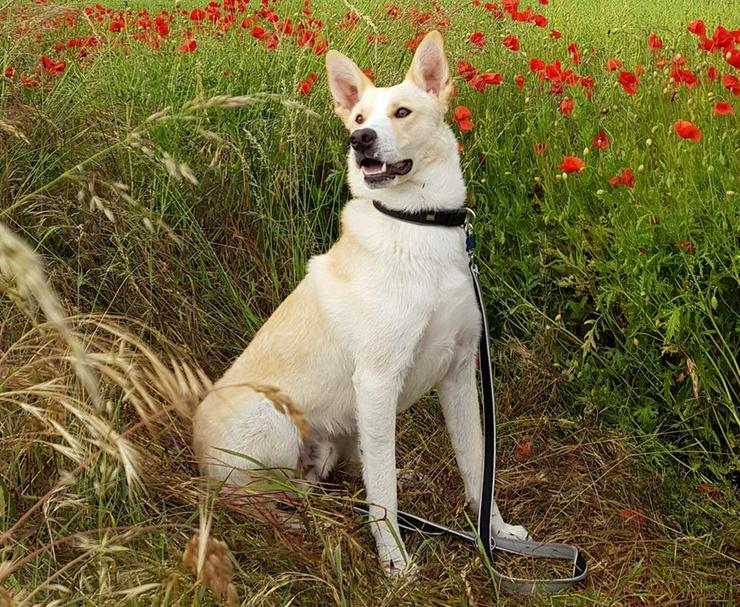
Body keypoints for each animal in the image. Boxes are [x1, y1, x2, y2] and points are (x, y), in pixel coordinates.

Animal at [191, 29, 528, 576]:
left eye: (402, 112)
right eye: (358, 118)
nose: (360, 140)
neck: (417, 225)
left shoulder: (459, 374)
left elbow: (477, 466)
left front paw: (494, 535)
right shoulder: (376, 381)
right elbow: (383, 496)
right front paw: (396, 565)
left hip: (340, 437)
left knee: (337, 475)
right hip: (272, 416)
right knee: (241, 499)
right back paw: (289, 523)